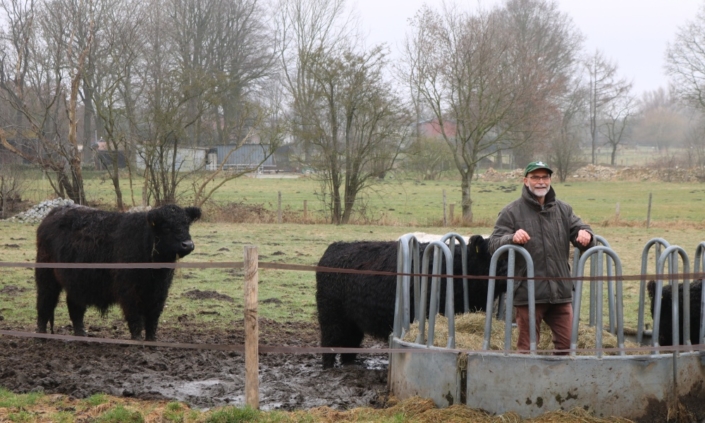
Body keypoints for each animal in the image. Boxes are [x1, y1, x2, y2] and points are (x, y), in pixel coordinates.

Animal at [35, 204, 201, 341]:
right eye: (166, 227)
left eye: (186, 224)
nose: (188, 245)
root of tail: (55, 212)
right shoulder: (128, 289)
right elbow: (135, 316)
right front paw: (137, 340)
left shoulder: (159, 291)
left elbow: (153, 317)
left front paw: (152, 341)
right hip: (46, 276)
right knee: (44, 303)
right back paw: (41, 336)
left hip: (76, 281)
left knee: (75, 306)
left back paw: (81, 335)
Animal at [315, 234, 505, 368]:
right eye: (494, 257)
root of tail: (335, 247)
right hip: (331, 317)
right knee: (329, 344)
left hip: (353, 322)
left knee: (350, 345)